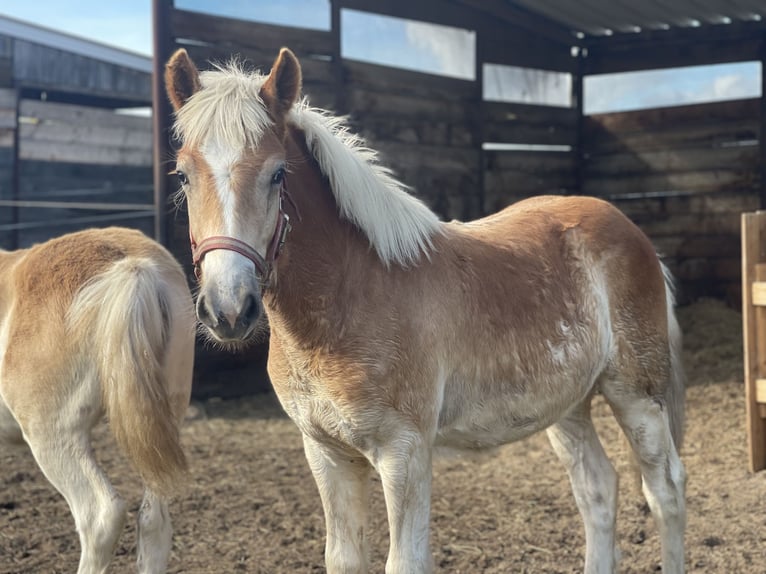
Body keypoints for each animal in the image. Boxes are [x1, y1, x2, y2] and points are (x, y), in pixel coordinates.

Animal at [165, 49, 688, 574]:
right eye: (184, 175)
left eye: (277, 174)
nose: (229, 308)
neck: (346, 303)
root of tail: (631, 230)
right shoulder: (326, 453)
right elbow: (344, 557)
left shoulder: (405, 452)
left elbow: (406, 561)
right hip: (568, 406)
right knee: (598, 490)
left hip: (636, 396)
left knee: (666, 491)